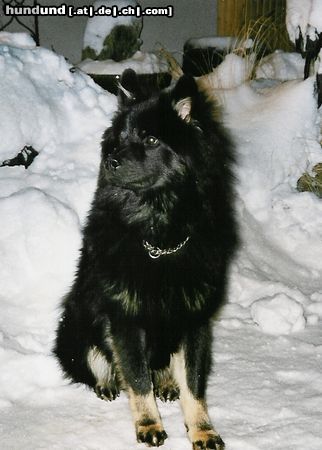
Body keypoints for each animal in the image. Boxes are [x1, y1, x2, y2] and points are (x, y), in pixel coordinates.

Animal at [54, 69, 238, 450]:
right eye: (120, 139)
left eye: (151, 140)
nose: (110, 161)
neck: (159, 235)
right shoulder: (125, 320)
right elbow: (137, 379)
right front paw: (148, 425)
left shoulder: (193, 321)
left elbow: (194, 384)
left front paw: (202, 429)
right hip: (77, 325)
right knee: (100, 363)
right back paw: (107, 384)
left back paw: (166, 383)